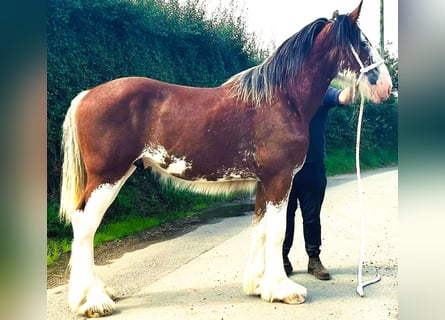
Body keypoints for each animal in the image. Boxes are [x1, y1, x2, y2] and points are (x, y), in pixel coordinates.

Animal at [59, 1, 388, 318]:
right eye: (362, 42)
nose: (386, 87)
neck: (281, 99)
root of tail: (86, 95)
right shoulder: (280, 179)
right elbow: (277, 232)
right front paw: (283, 290)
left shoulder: (264, 183)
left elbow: (260, 227)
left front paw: (257, 285)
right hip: (108, 177)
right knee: (85, 225)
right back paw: (92, 301)